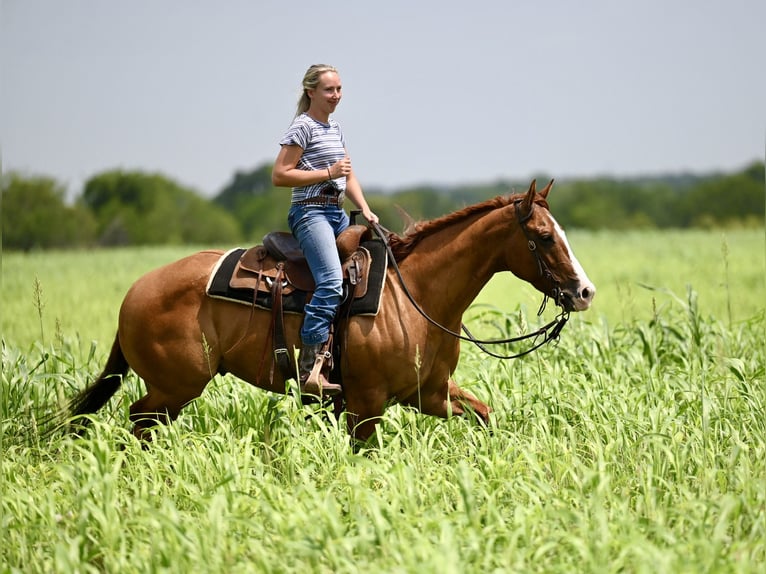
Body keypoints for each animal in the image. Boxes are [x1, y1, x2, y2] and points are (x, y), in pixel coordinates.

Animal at [61, 179, 595, 442]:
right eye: (544, 236)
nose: (585, 291)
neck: (417, 297)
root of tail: (136, 291)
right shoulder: (366, 404)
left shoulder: (428, 394)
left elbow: (484, 416)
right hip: (176, 387)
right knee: (139, 420)